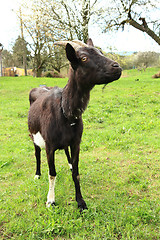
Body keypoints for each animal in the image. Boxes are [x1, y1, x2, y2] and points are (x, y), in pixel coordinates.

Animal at [28, 39, 122, 210]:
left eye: (100, 51)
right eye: (83, 58)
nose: (117, 67)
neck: (64, 111)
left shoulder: (76, 142)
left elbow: (76, 173)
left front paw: (81, 202)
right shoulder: (49, 146)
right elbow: (52, 173)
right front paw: (50, 200)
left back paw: (69, 164)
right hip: (33, 135)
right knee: (37, 153)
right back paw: (37, 174)